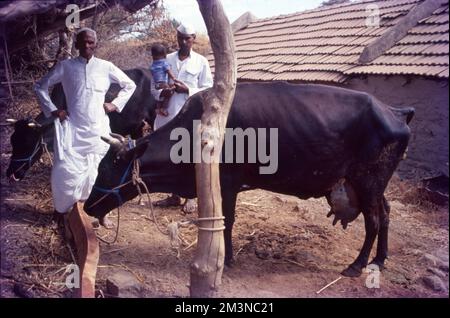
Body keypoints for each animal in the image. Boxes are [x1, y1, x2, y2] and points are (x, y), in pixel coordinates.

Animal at [84, 81, 414, 276]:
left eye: (107, 169)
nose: (86, 207)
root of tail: (394, 111)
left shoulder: (228, 184)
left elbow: (227, 221)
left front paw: (226, 259)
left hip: (367, 182)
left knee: (374, 221)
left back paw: (357, 265)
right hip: (374, 186)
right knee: (386, 214)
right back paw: (379, 260)